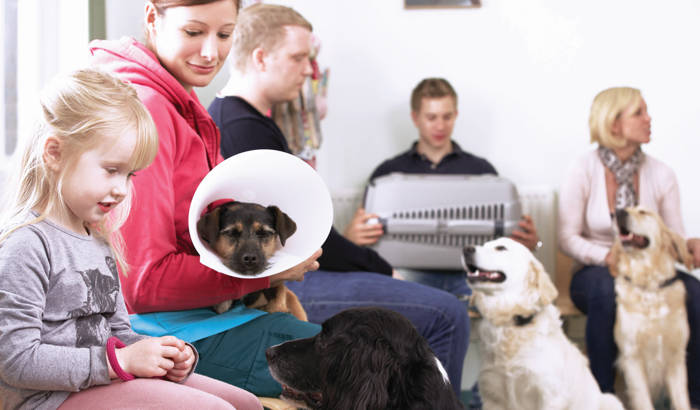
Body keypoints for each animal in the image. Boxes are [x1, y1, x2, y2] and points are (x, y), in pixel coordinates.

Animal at [608, 208, 692, 410]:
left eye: (643, 212)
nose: (617, 212)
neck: (649, 287)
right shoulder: (632, 357)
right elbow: (643, 401)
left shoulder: (676, 355)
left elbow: (682, 400)